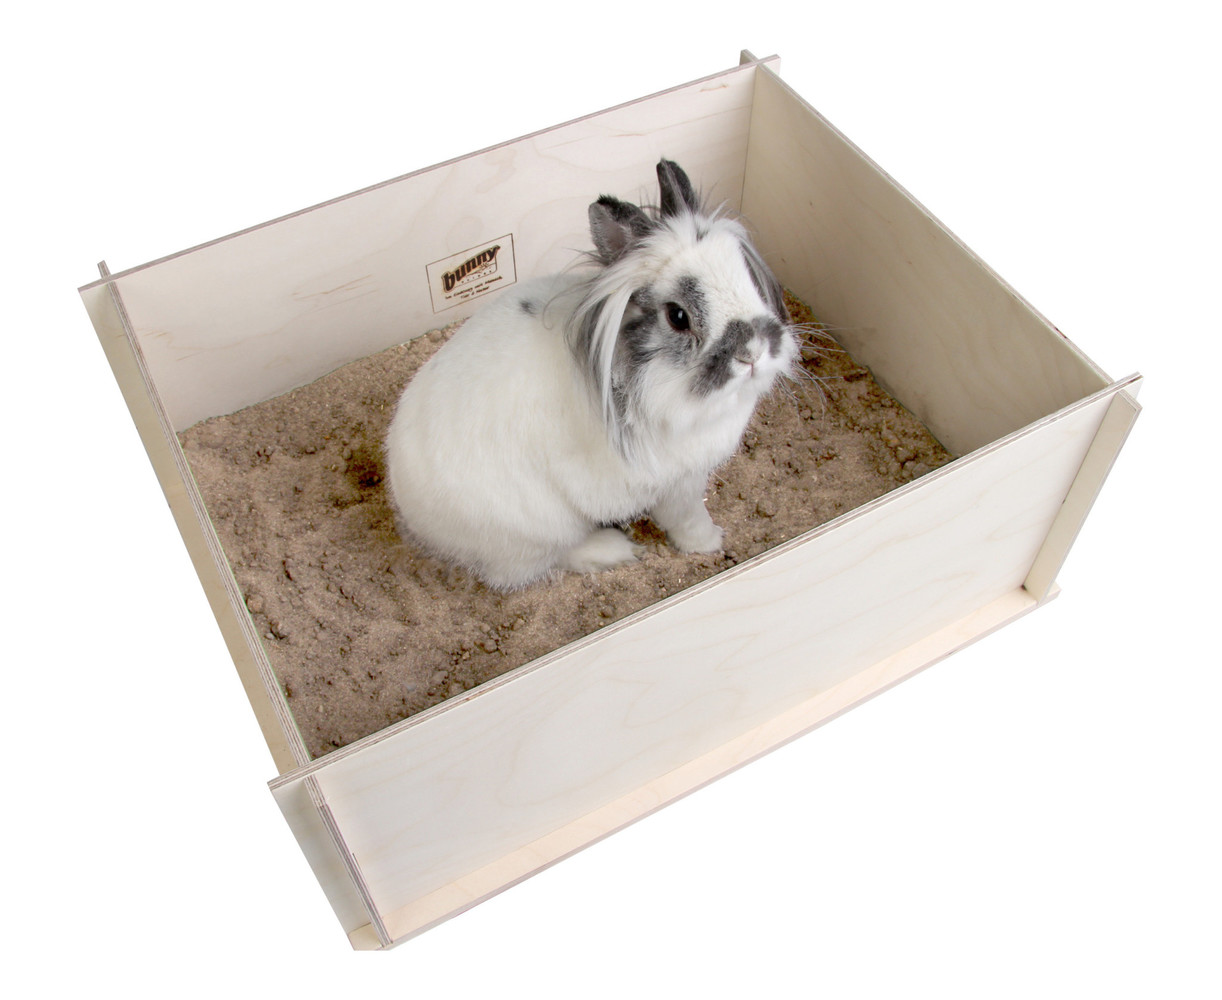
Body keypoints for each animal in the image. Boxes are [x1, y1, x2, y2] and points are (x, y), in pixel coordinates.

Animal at [385, 159, 797, 590]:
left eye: (745, 276)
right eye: (678, 316)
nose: (754, 351)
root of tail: (412, 510)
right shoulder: (677, 485)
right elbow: (687, 519)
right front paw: (711, 542)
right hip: (540, 531)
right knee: (543, 561)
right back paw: (614, 549)